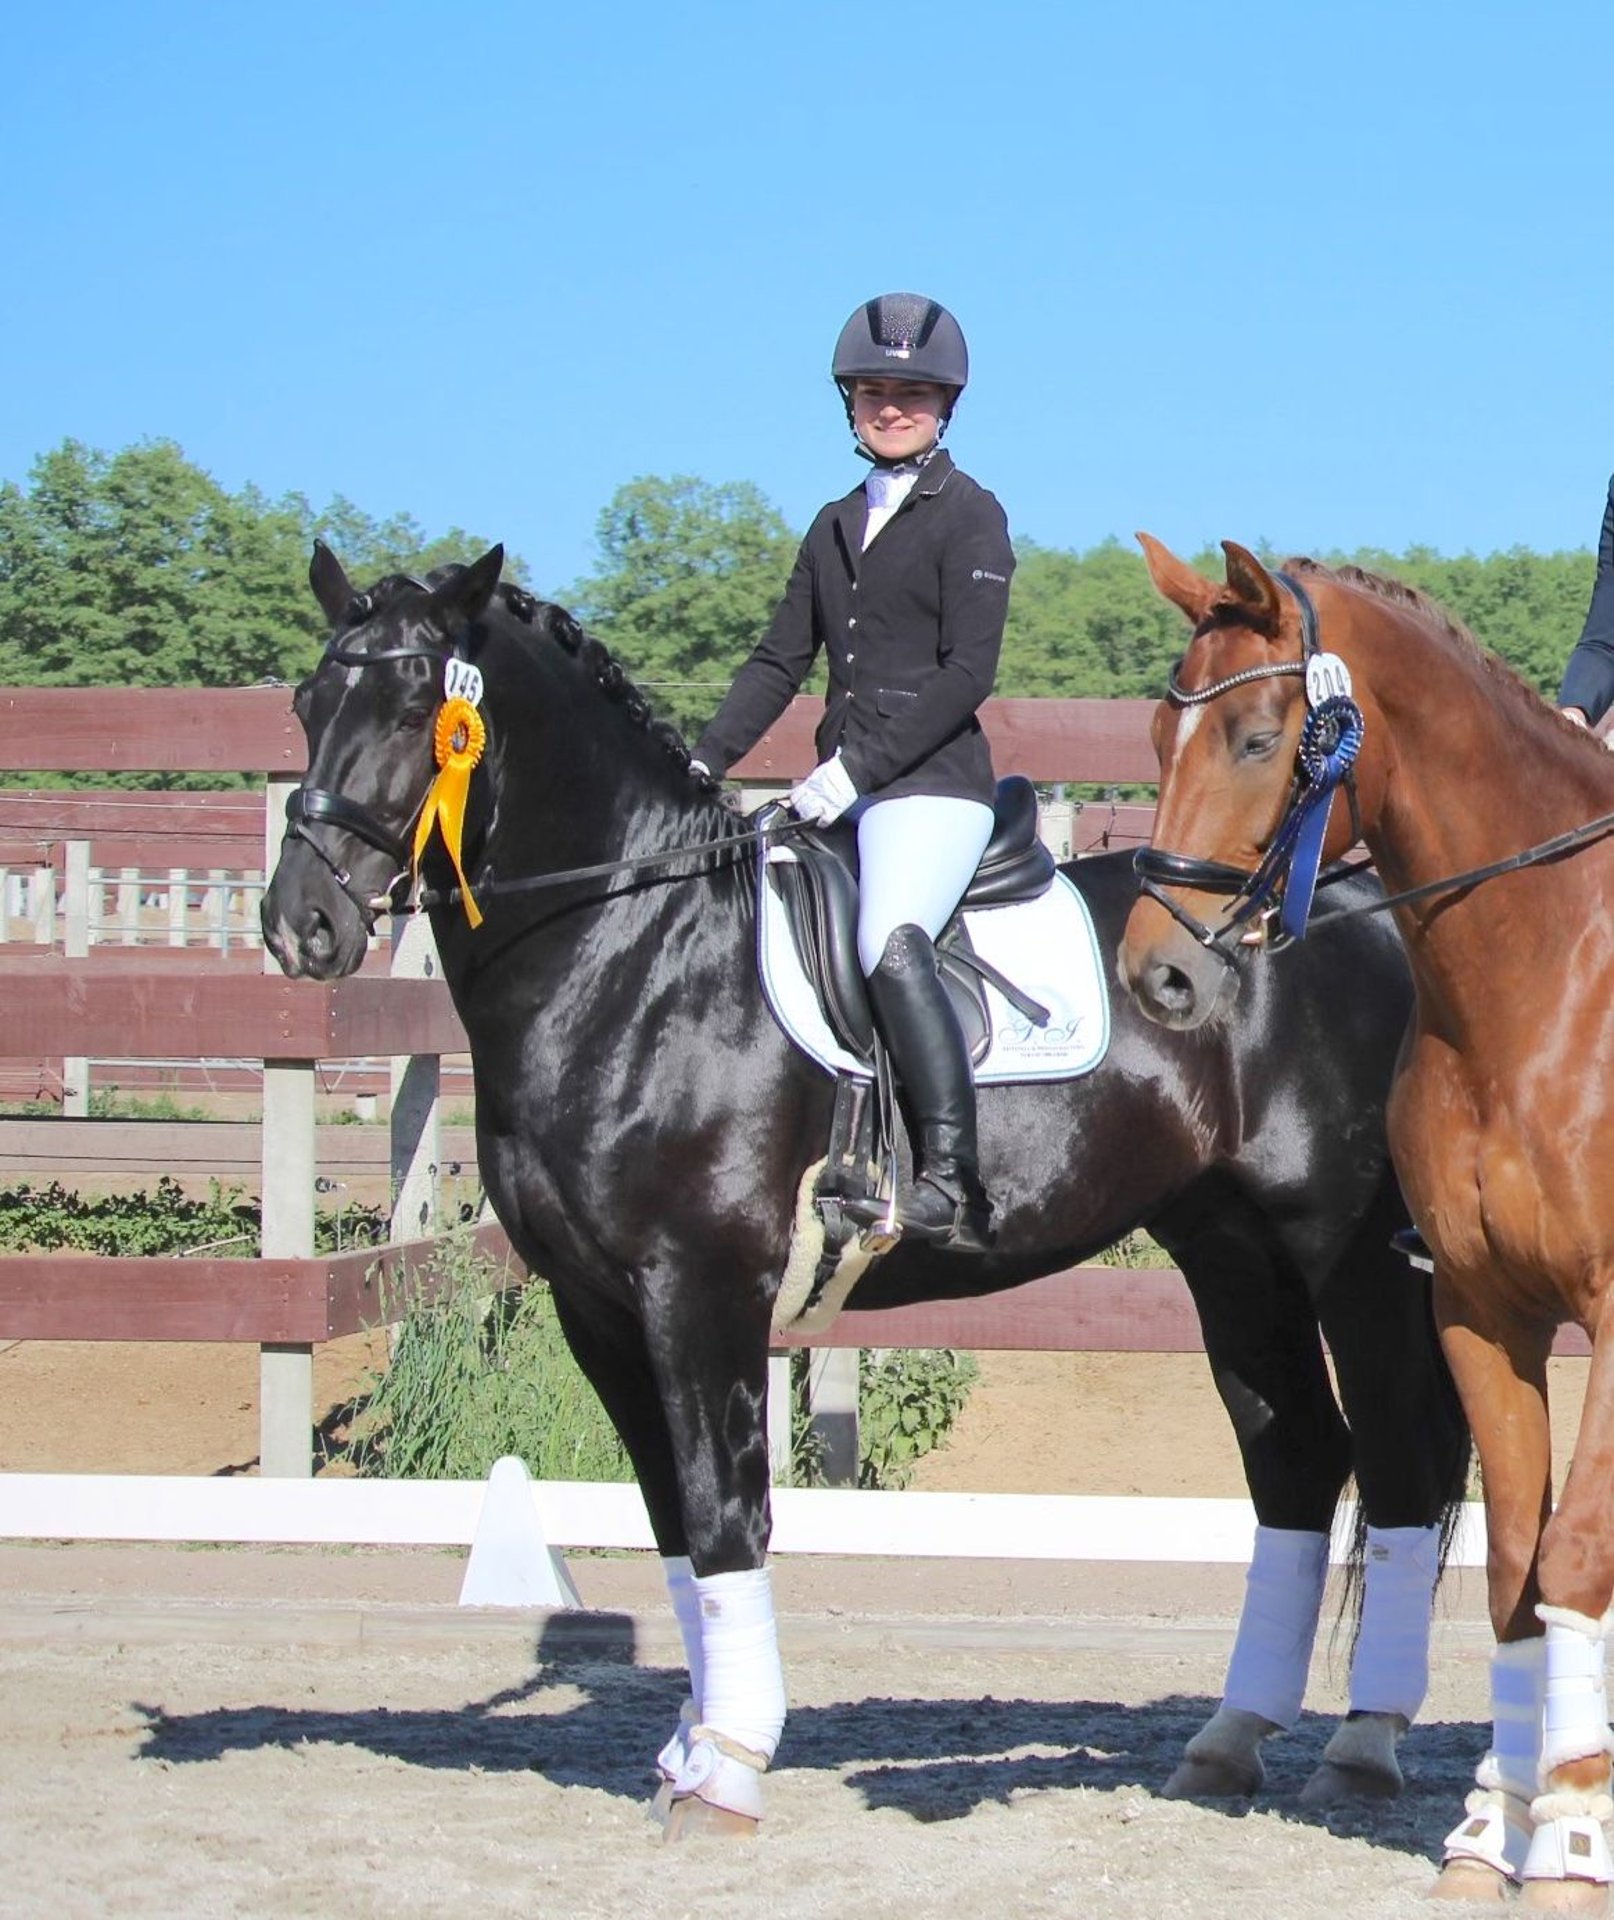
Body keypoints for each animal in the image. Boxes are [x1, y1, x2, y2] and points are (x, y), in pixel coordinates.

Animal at [261, 549, 1458, 1835]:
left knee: (1397, 1465)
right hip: (1232, 1252)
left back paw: (1365, 1743)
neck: (635, 956)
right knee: (1299, 1462)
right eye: (308, 705)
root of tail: (1362, 907)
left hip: (1344, 1253)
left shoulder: (700, 1289)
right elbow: (672, 1522)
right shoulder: (598, 1310)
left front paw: (728, 1763)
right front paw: (689, 1748)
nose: (302, 924)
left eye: (418, 710)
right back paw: (1229, 1740)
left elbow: (726, 1513)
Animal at [1113, 537, 1612, 1904]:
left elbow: (1575, 1558)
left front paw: (1574, 1845)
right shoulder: (1481, 1310)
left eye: (1259, 737)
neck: (1547, 982)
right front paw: (1493, 1834)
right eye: (1161, 732)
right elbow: (1516, 1572)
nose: (1157, 977)